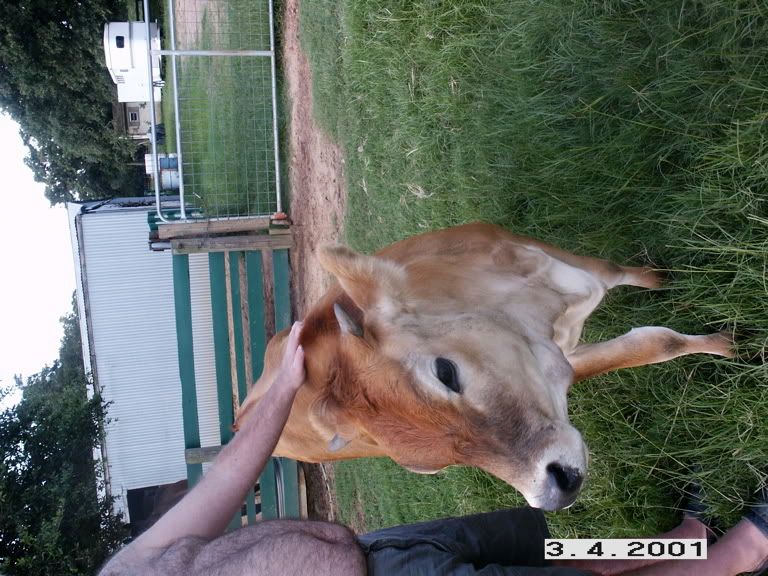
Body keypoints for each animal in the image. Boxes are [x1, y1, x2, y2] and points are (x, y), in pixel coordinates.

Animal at [235, 223, 732, 511]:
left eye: (446, 372)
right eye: (430, 463)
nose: (555, 489)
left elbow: (643, 319)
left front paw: (677, 291)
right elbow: (652, 343)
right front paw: (730, 343)